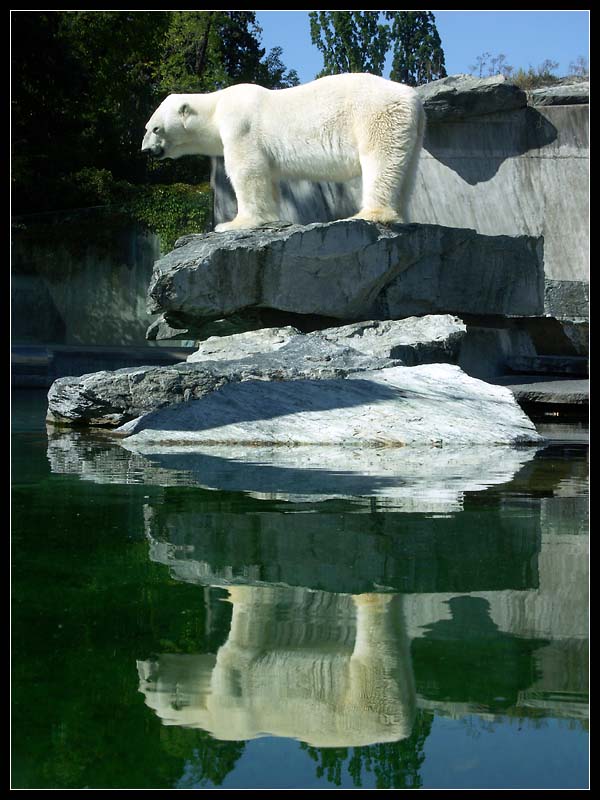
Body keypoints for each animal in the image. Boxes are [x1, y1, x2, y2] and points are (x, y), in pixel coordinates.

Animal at [141, 72, 424, 231]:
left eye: (155, 128)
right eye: (147, 128)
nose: (145, 150)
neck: (216, 106)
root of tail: (412, 97)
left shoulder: (239, 125)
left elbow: (246, 170)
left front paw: (232, 224)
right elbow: (268, 178)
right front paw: (268, 218)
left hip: (376, 116)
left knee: (379, 161)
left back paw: (367, 214)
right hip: (410, 130)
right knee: (404, 169)